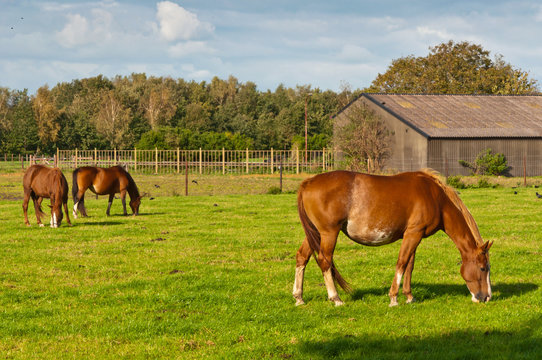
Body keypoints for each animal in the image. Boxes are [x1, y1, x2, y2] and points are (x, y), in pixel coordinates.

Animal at [296, 169, 496, 306]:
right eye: (483, 268)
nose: (487, 297)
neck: (435, 198)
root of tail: (308, 183)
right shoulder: (413, 234)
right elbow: (402, 263)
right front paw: (393, 298)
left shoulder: (414, 235)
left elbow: (409, 265)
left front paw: (409, 296)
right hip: (329, 234)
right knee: (325, 261)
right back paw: (335, 298)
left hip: (314, 234)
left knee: (302, 257)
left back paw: (299, 297)